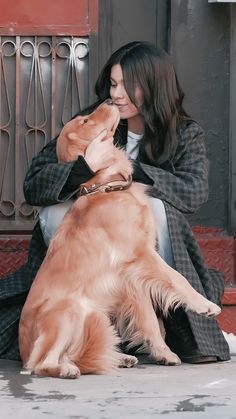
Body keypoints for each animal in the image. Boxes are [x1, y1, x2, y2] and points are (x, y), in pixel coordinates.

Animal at [18, 100, 221, 378]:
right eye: (84, 121)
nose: (109, 100)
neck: (107, 187)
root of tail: (23, 350)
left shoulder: (133, 276)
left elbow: (148, 317)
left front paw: (163, 352)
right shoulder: (141, 254)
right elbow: (177, 278)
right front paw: (205, 305)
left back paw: (118, 358)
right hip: (69, 313)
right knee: (41, 364)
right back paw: (65, 370)